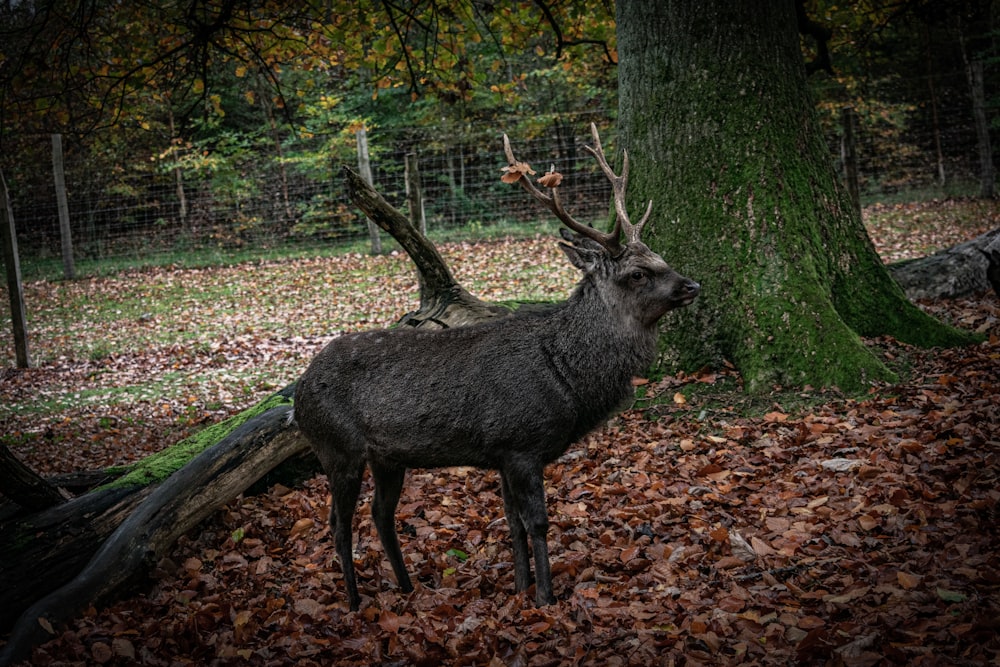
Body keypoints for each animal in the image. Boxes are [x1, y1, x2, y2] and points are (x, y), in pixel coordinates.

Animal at [294, 124, 704, 612]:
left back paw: (408, 587)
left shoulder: (503, 452)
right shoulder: (522, 443)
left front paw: (521, 588)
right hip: (337, 448)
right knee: (337, 524)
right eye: (637, 274)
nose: (692, 284)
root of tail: (296, 396)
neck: (566, 378)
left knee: (380, 514)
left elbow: (512, 522)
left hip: (387, 458)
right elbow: (539, 522)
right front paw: (545, 597)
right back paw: (355, 602)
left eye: (661, 259)